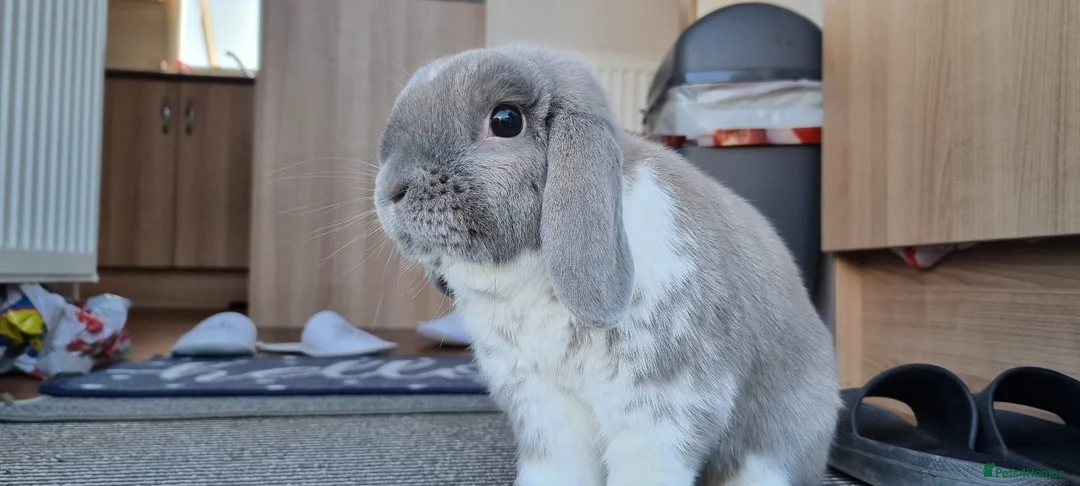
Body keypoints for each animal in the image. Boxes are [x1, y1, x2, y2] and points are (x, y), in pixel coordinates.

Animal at [373, 44, 841, 486]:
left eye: (506, 120)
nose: (391, 191)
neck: (531, 275)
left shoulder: (662, 405)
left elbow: (646, 468)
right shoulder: (544, 407)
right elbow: (556, 467)